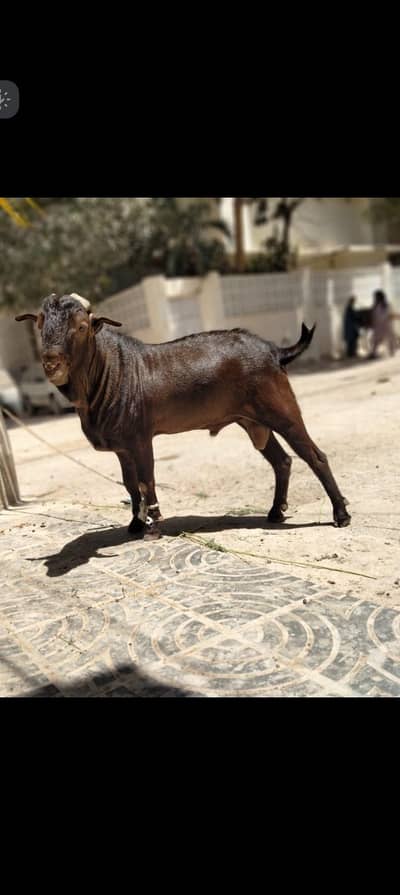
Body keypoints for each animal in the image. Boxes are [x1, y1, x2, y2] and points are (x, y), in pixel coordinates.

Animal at [16, 293, 351, 539]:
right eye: (40, 324)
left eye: (82, 326)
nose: (51, 363)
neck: (111, 371)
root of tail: (274, 351)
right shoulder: (123, 447)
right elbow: (129, 484)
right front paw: (135, 524)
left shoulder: (140, 438)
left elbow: (146, 482)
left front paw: (153, 526)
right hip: (253, 421)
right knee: (282, 461)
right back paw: (275, 512)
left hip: (281, 408)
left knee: (315, 456)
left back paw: (341, 514)